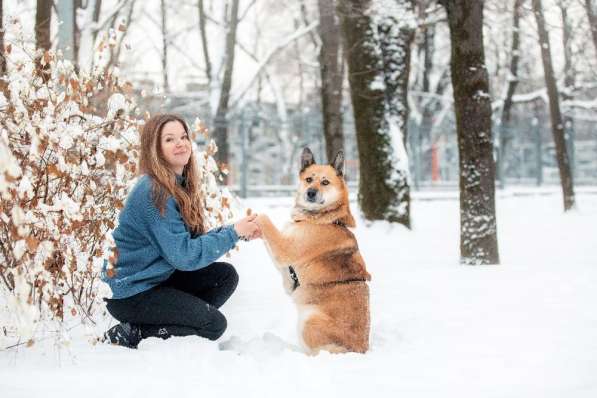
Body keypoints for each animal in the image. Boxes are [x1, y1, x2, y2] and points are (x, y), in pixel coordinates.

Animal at [258, 148, 372, 352]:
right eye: (309, 179)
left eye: (325, 182)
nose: (310, 192)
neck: (326, 219)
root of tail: (360, 350)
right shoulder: (285, 265)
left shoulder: (284, 249)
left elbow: (264, 219)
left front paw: (249, 217)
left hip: (308, 321)